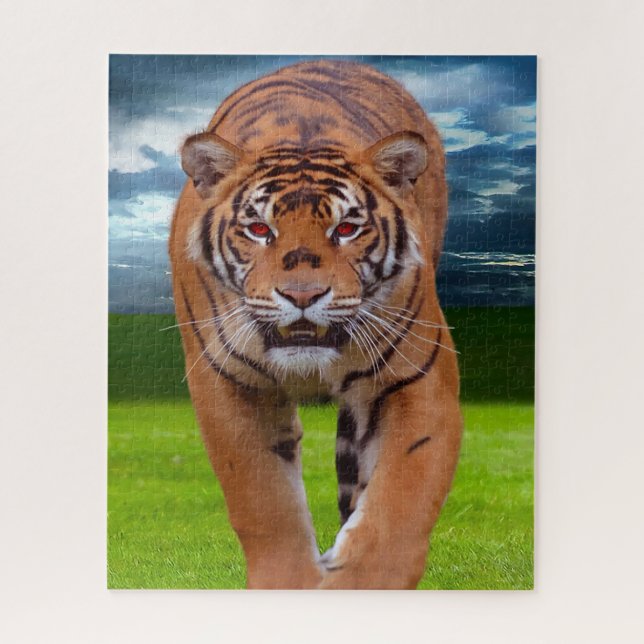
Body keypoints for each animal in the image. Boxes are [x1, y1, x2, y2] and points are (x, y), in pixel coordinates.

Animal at [169, 59, 462, 589]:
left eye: (346, 228)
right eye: (259, 229)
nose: (302, 296)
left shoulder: (416, 380)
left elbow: (400, 505)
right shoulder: (228, 383)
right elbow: (264, 500)